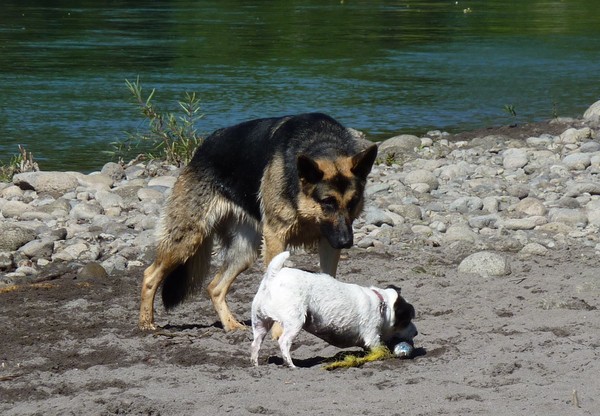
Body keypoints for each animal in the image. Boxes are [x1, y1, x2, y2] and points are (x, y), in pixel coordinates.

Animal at [138, 113, 378, 332]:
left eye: (353, 202)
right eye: (327, 202)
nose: (346, 242)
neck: (322, 144)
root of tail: (201, 149)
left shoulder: (329, 241)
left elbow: (328, 279)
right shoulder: (276, 238)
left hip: (245, 252)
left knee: (214, 288)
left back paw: (231, 325)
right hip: (187, 239)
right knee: (150, 275)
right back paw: (146, 323)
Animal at [250, 250, 418, 368]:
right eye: (406, 321)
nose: (416, 332)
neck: (381, 304)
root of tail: (273, 276)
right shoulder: (372, 336)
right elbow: (379, 347)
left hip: (260, 323)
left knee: (255, 344)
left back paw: (255, 364)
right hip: (294, 321)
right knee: (284, 342)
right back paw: (291, 365)